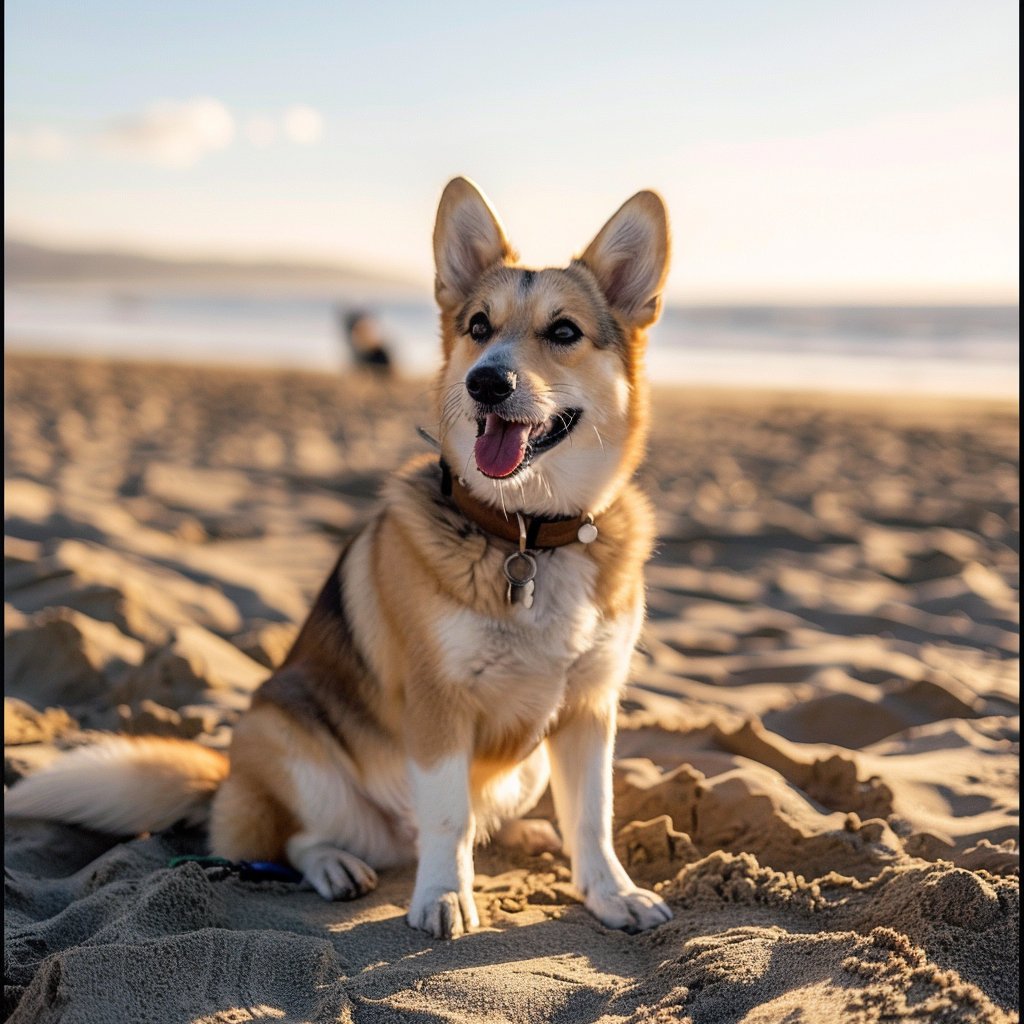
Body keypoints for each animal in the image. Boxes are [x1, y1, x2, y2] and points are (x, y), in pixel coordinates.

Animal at [6, 176, 671, 937]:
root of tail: (227, 783)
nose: (486, 383)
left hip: (523, 766)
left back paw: (522, 835)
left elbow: (592, 817)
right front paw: (444, 895)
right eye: (478, 326)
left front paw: (611, 893)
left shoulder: (590, 707)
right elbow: (447, 817)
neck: (526, 534)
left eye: (563, 332)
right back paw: (335, 866)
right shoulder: (438, 707)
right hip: (284, 734)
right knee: (297, 840)